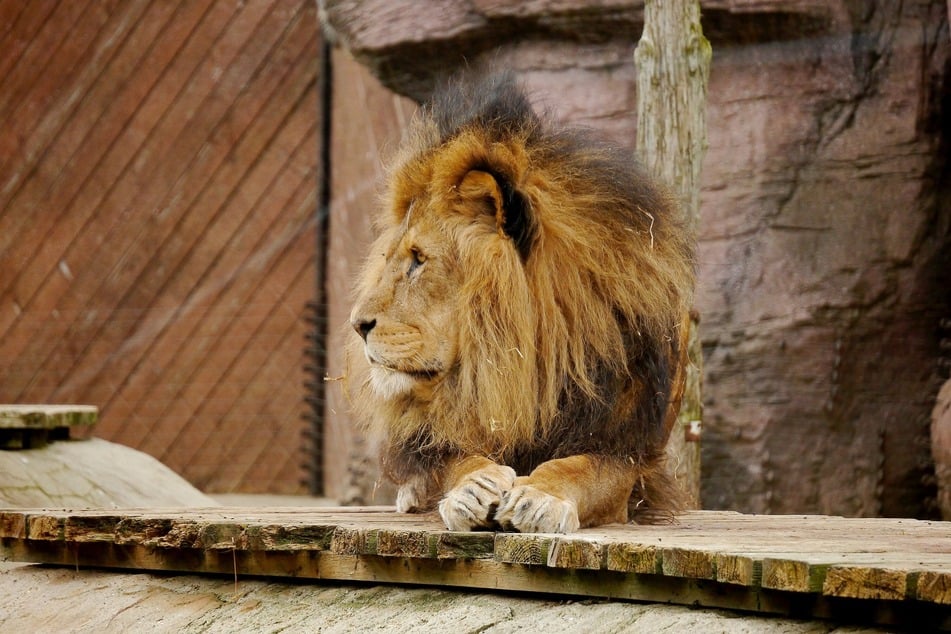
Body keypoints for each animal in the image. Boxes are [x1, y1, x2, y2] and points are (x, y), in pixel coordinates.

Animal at [347, 72, 695, 533]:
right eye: (391, 259)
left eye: (419, 260)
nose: (357, 324)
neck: (526, 365)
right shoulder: (447, 435)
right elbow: (456, 460)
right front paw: (473, 486)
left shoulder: (623, 450)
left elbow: (579, 468)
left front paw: (541, 498)